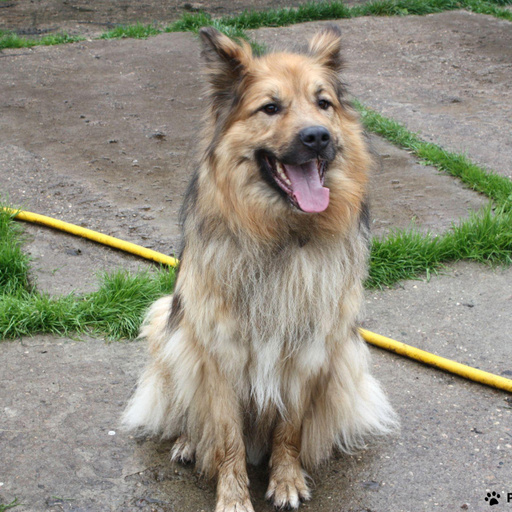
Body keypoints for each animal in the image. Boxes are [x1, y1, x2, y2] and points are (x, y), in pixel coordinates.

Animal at [122, 25, 397, 511]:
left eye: (323, 103)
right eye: (270, 107)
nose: (317, 137)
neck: (283, 237)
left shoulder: (306, 354)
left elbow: (289, 430)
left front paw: (286, 479)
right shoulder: (220, 356)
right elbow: (227, 436)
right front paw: (233, 497)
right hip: (165, 322)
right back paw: (189, 443)